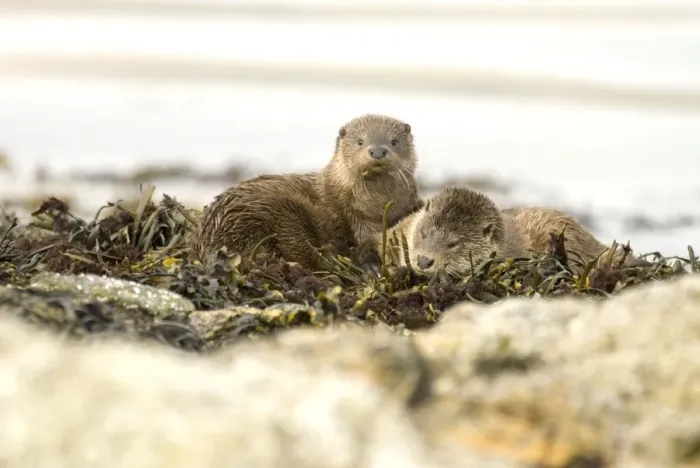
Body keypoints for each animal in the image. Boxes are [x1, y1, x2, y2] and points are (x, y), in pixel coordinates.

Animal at [188, 114, 422, 271]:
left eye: (394, 141)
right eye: (360, 141)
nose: (378, 151)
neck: (378, 205)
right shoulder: (356, 217)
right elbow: (367, 240)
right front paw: (371, 265)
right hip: (280, 212)